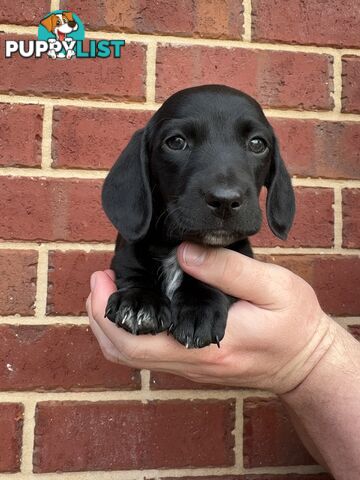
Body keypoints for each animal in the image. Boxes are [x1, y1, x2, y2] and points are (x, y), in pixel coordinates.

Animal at [101, 85, 296, 348]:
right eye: (176, 142)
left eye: (257, 143)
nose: (225, 201)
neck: (175, 245)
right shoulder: (126, 255)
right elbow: (133, 270)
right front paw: (140, 301)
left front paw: (198, 307)